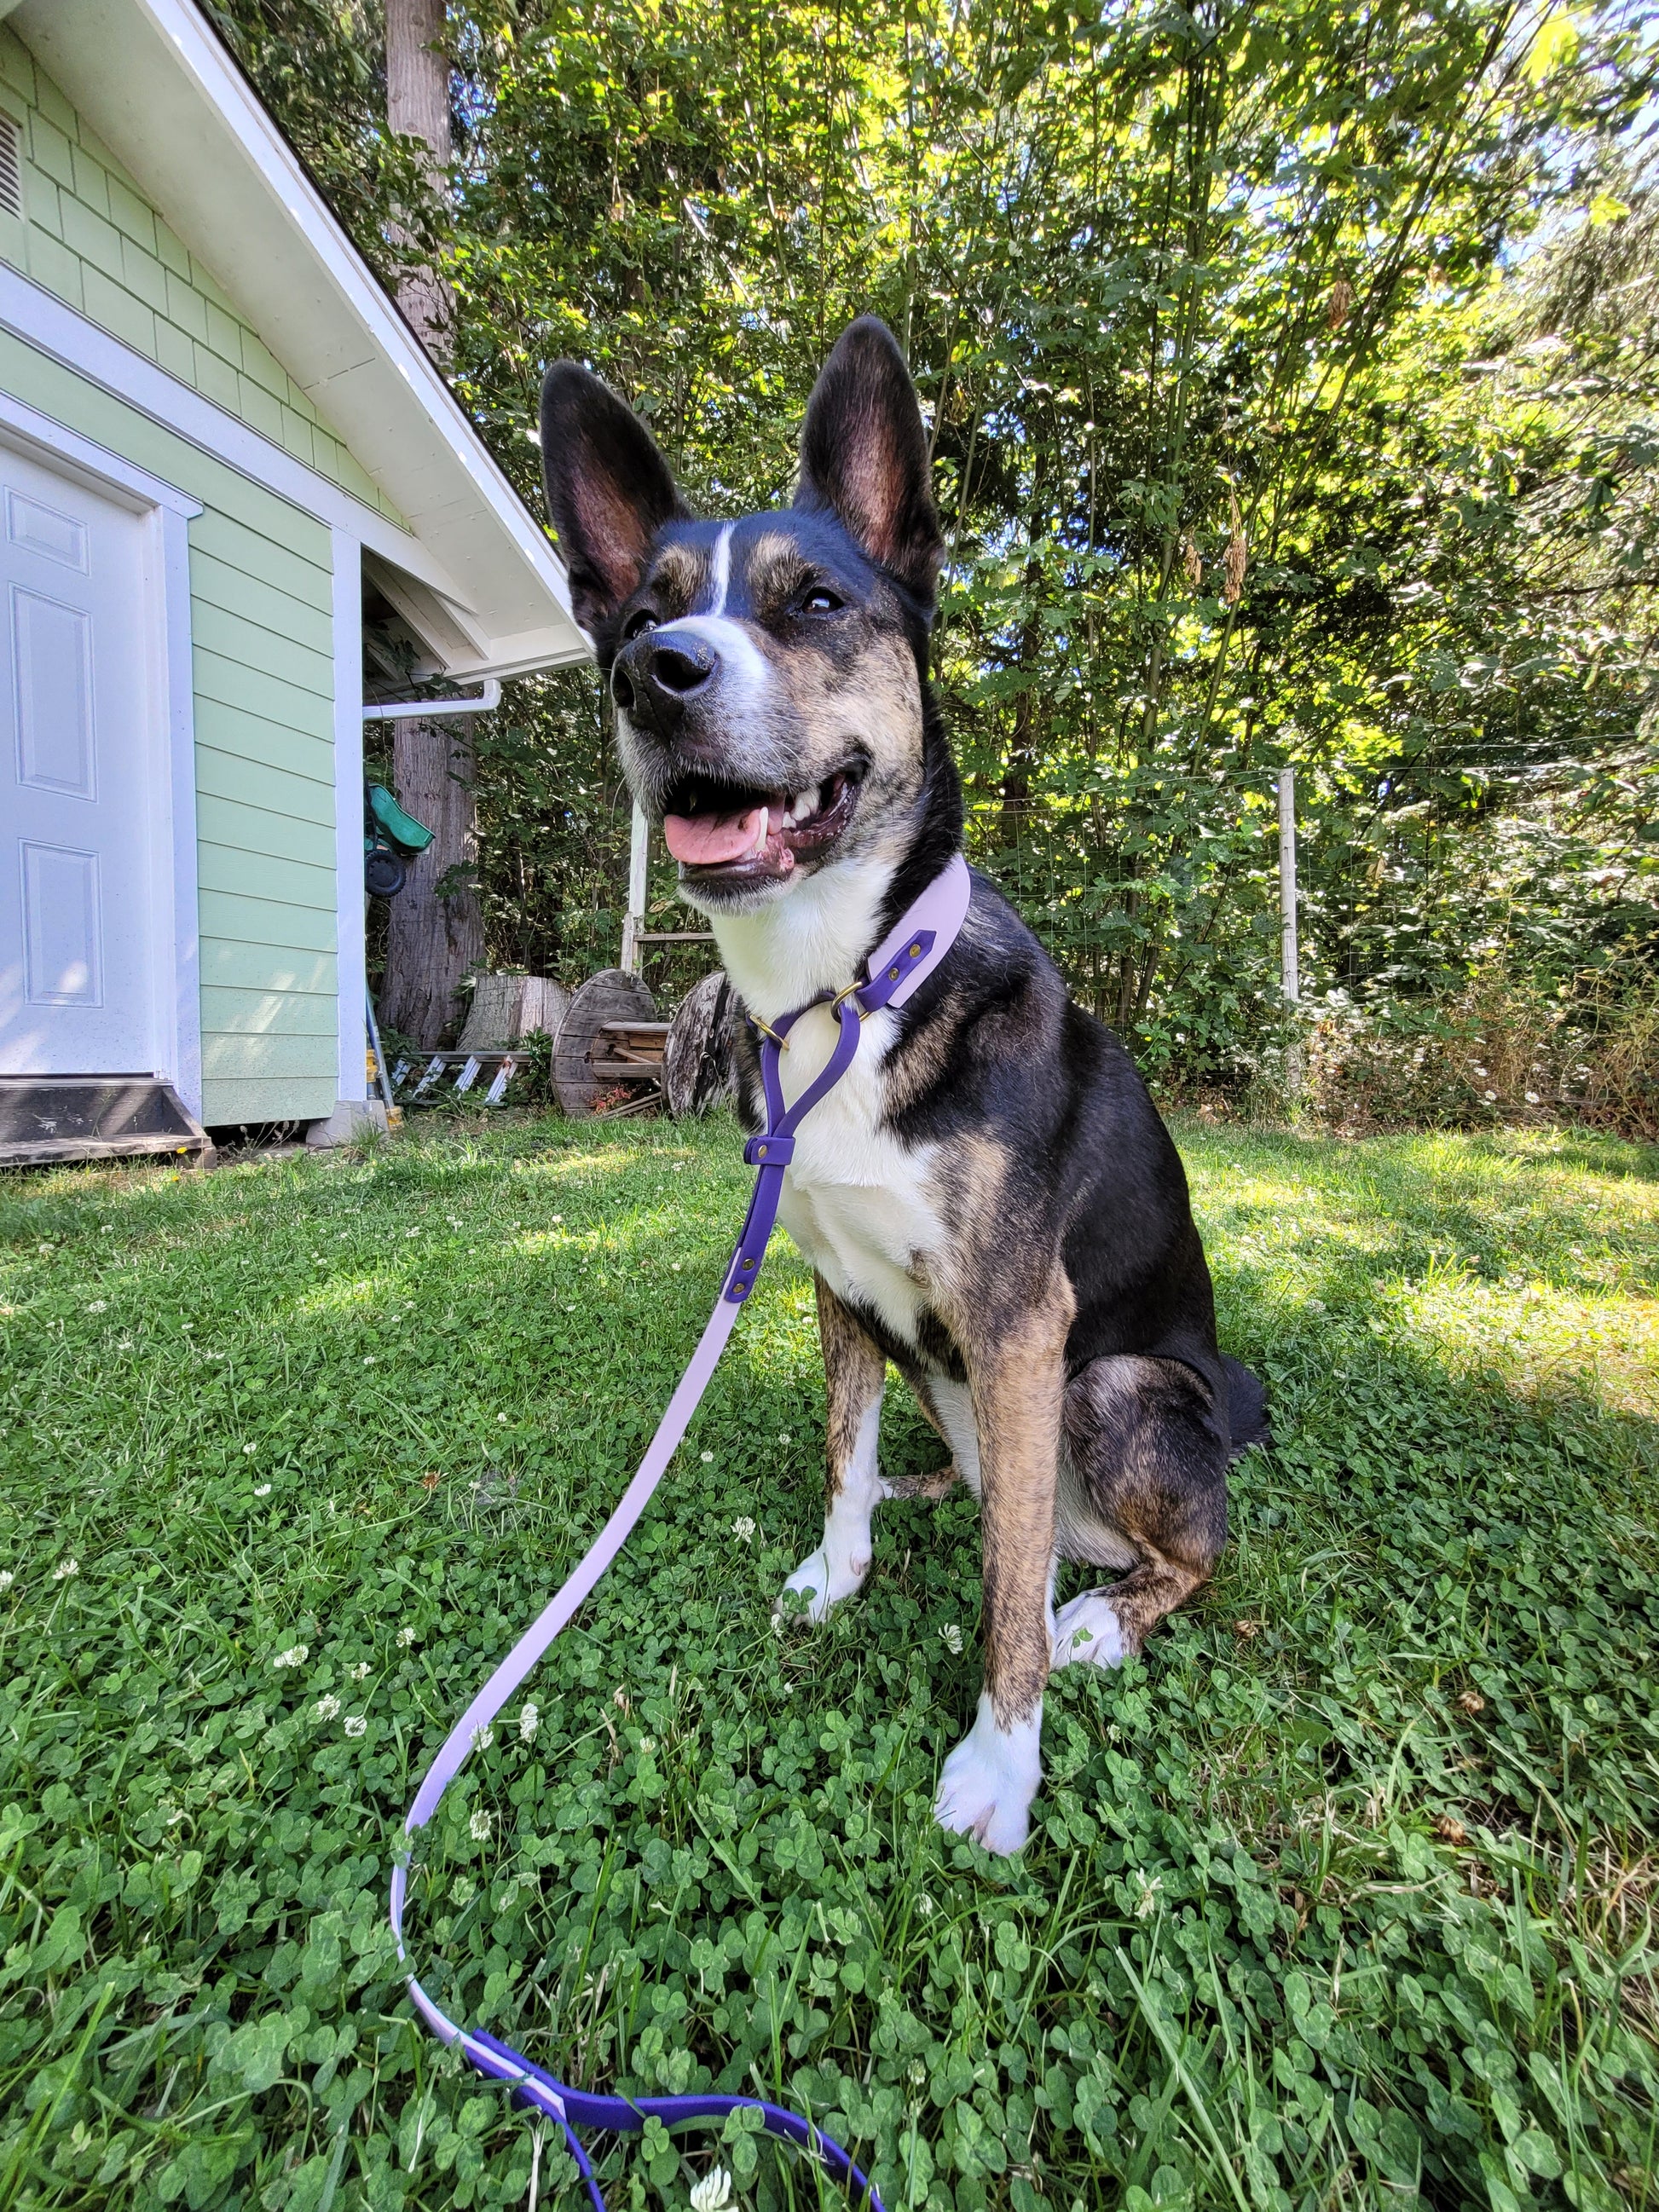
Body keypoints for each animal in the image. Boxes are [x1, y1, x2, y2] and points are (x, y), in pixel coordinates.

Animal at [540, 316, 1265, 1849]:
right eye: (636, 621)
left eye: (816, 601)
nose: (655, 676)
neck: (846, 990)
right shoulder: (834, 1283)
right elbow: (841, 1458)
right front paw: (843, 1566)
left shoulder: (1016, 1320)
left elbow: (1006, 1600)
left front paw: (1001, 1758)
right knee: (993, 1494)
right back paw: (945, 1493)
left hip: (1111, 1385)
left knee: (1174, 1550)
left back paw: (1107, 1611)